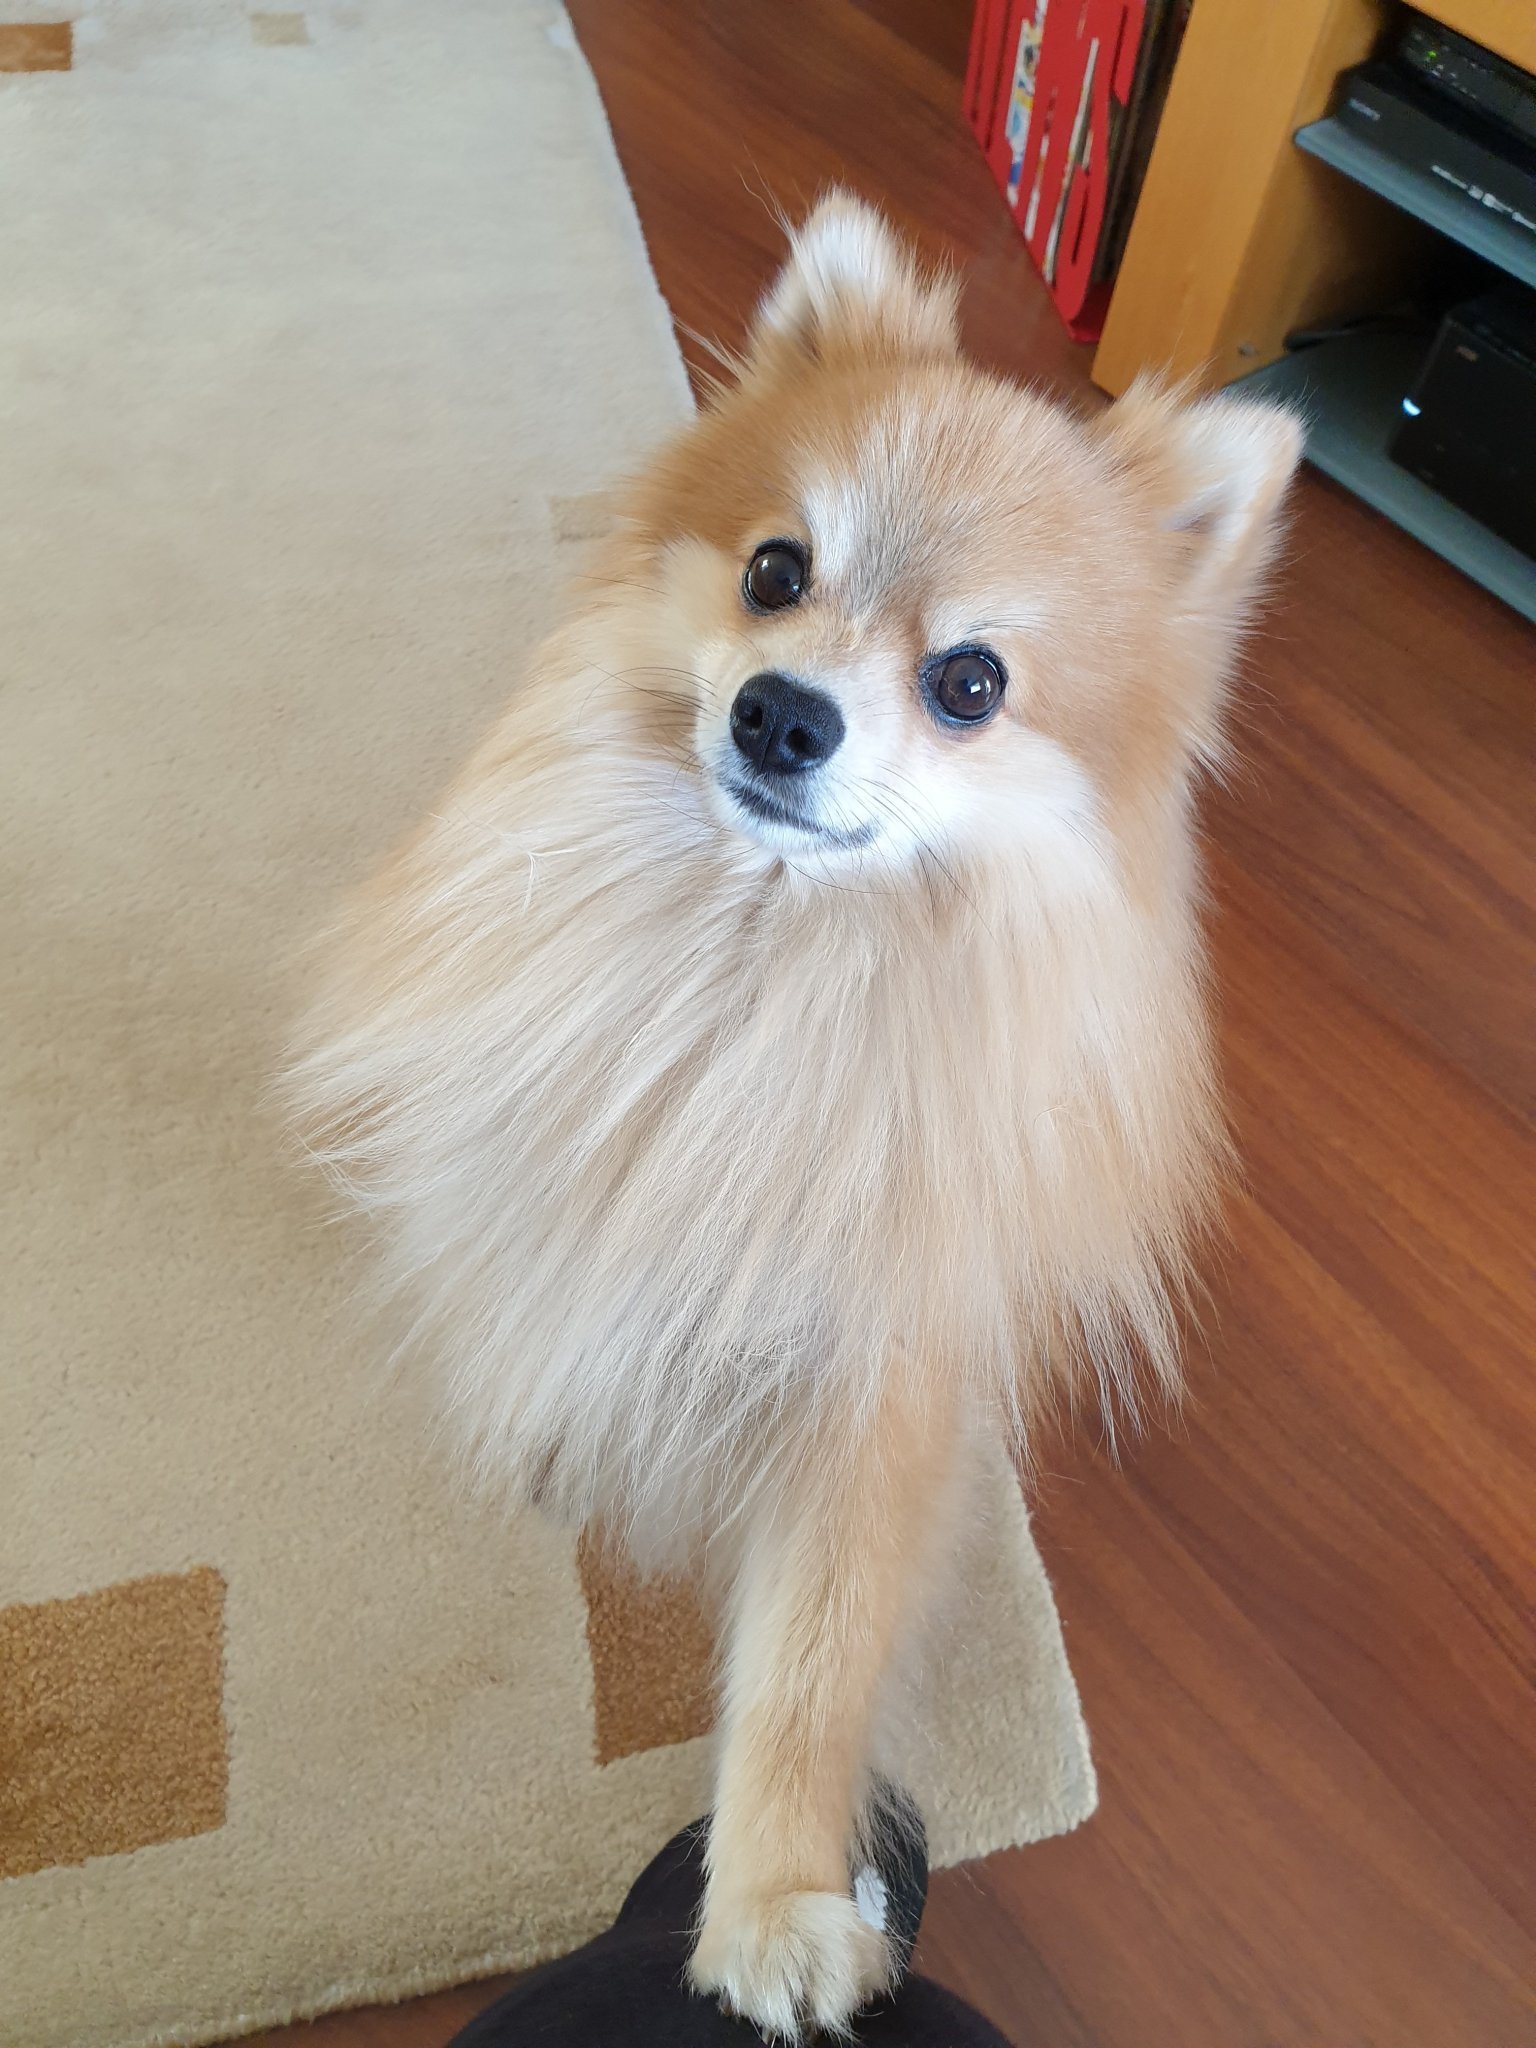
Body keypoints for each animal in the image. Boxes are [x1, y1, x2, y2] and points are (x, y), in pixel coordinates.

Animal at [287, 193, 1300, 2038]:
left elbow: (815, 1659)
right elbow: (560, 1309)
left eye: (969, 683)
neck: (762, 962)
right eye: (776, 572)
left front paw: (768, 1904)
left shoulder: (876, 1371)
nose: (782, 711)